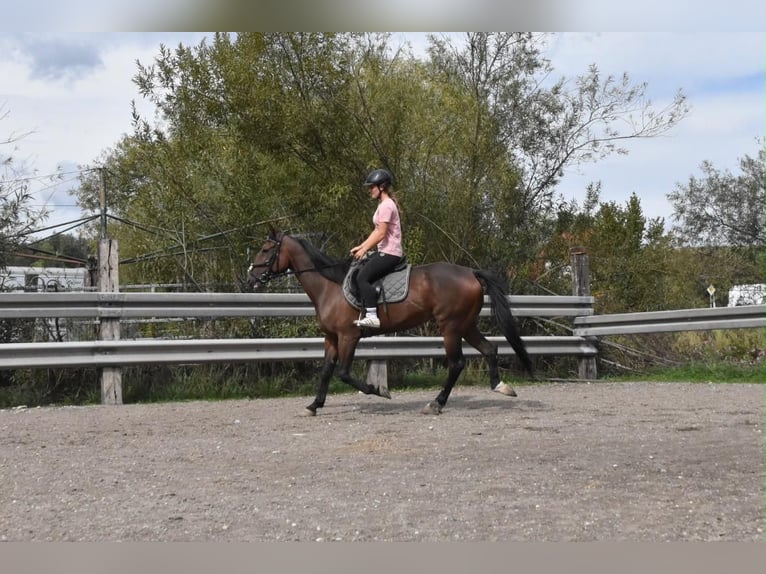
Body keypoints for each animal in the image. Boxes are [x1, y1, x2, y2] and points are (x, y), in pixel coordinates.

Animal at [247, 226, 533, 415]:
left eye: (265, 249)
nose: (250, 278)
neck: (330, 286)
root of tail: (471, 272)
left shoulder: (349, 336)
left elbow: (343, 373)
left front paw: (378, 390)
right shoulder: (331, 338)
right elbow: (327, 371)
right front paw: (314, 405)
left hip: (450, 327)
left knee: (457, 363)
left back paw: (436, 403)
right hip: (465, 324)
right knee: (489, 349)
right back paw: (500, 386)